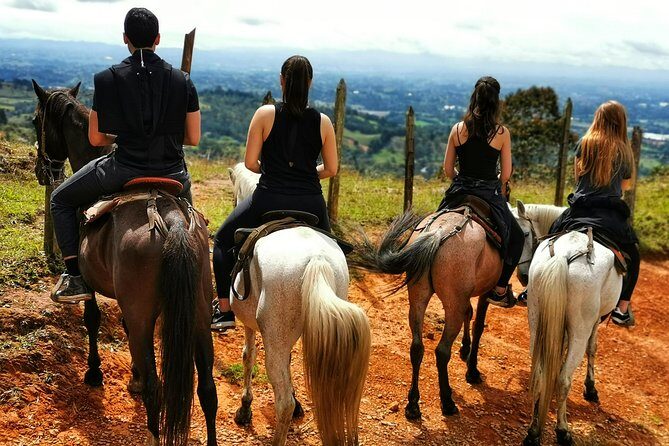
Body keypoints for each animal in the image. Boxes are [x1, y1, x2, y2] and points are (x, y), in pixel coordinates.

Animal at [31, 80, 218, 446]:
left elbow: (92, 320)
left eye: (35, 122)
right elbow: (123, 328)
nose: (42, 172)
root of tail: (172, 220)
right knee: (207, 389)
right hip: (199, 310)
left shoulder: (93, 285)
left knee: (157, 390)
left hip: (146, 313)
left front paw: (93, 372)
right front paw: (132, 376)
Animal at [227, 165, 372, 446]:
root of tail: (316, 259)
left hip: (276, 338)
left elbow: (248, 356)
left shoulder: (250, 324)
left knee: (282, 403)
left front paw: (245, 408)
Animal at [352, 205, 507, 419]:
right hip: (452, 305)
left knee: (416, 347)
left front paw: (465, 350)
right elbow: (478, 326)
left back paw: (413, 404)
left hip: (418, 298)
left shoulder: (466, 296)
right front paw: (472, 370)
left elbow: (470, 313)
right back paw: (447, 402)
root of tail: (439, 231)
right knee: (442, 351)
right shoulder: (485, 292)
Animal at [514, 201, 623, 446]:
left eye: (524, 234)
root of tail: (563, 256)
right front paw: (591, 389)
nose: (522, 276)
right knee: (564, 379)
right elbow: (593, 348)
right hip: (579, 329)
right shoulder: (593, 322)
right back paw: (562, 431)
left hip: (536, 320)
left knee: (540, 374)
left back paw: (533, 432)